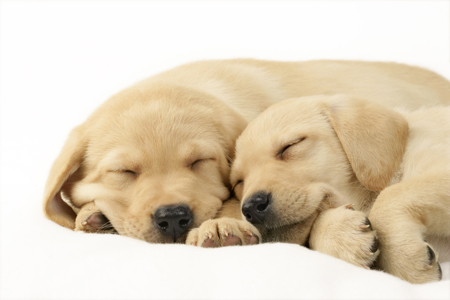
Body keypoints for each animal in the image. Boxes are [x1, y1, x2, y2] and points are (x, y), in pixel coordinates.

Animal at [230, 95, 448, 284]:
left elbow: (392, 196)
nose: (251, 207)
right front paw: (340, 235)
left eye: (291, 145)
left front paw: (406, 261)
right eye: (239, 182)